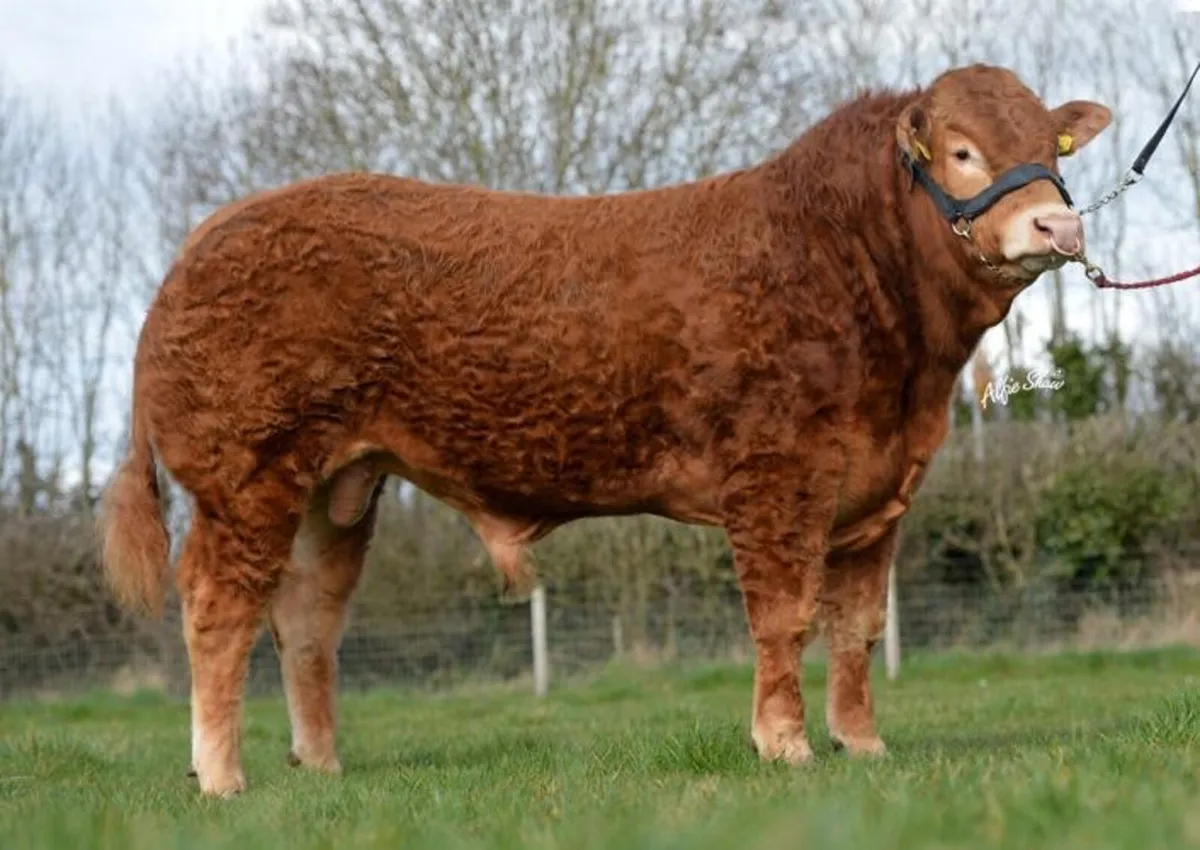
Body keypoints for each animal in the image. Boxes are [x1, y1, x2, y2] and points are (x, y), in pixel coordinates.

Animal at [98, 62, 1111, 797]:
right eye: (963, 151)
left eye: (1050, 149)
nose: (1056, 224)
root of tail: (206, 239)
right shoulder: (775, 474)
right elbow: (785, 617)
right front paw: (784, 746)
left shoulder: (877, 490)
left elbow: (858, 627)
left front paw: (861, 745)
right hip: (247, 474)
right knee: (219, 610)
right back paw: (221, 777)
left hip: (335, 486)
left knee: (308, 619)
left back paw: (320, 767)